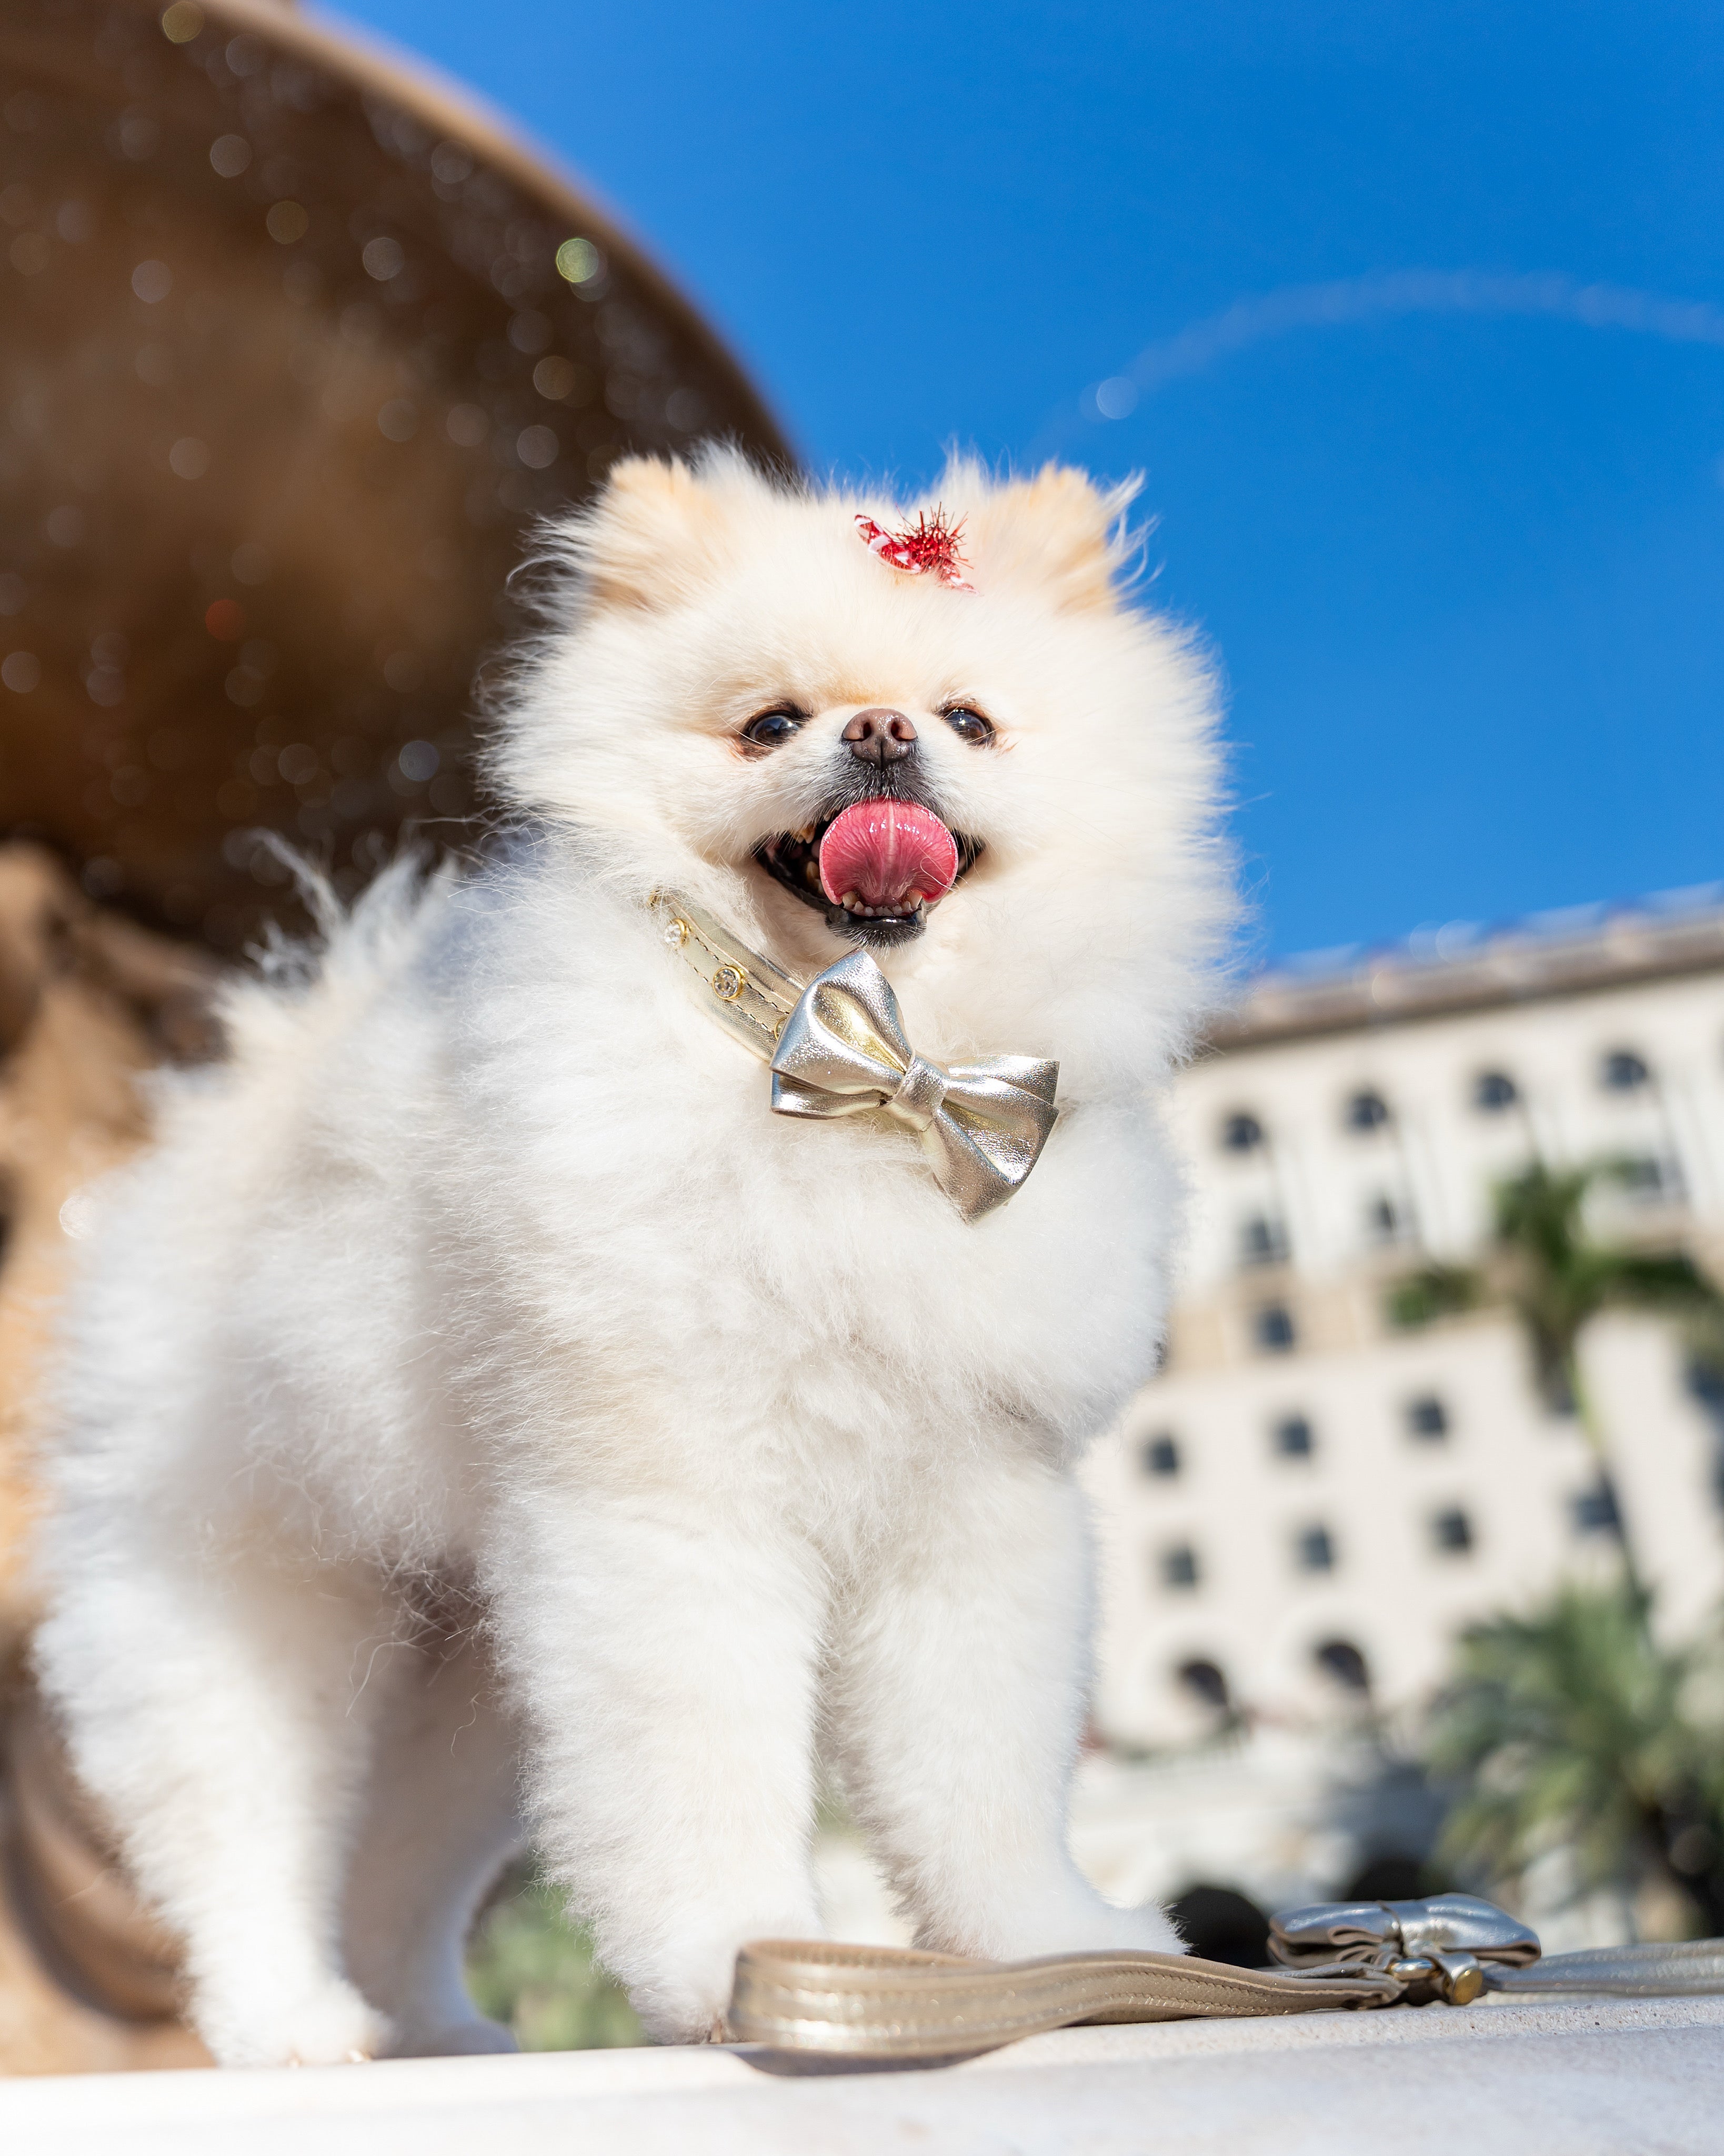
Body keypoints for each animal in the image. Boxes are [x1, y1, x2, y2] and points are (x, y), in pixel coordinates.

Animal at [33, 446, 1232, 2061]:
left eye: (970, 720)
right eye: (769, 723)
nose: (879, 730)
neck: (852, 1073)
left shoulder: (973, 1508)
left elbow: (982, 1776)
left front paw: (1052, 1948)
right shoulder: (673, 1508)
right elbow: (700, 1774)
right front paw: (741, 1959)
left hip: (474, 1675)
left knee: (399, 1871)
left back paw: (441, 2033)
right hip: (249, 1596)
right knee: (237, 1828)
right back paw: (292, 2022)